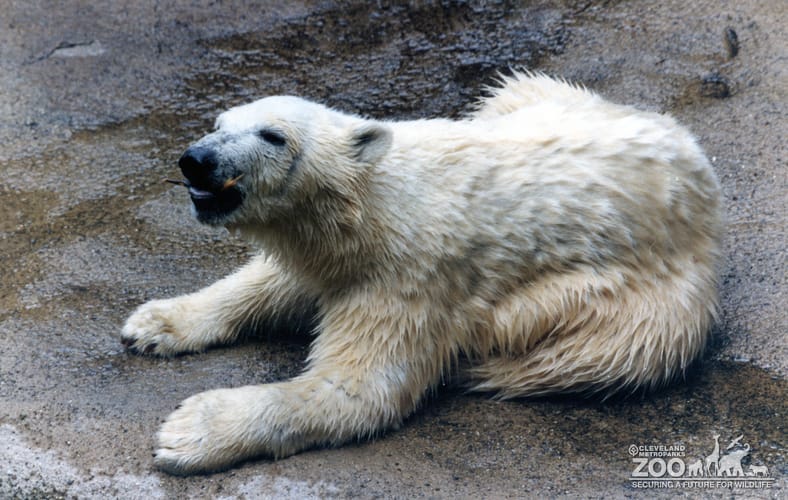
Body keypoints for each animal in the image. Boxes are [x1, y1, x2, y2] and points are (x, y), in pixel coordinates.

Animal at [121, 71, 722, 475]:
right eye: (218, 123)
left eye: (273, 136)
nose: (197, 161)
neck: (375, 203)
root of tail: (700, 167)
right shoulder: (330, 251)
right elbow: (271, 281)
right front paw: (154, 323)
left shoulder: (410, 277)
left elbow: (358, 389)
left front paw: (190, 431)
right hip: (549, 99)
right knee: (513, 86)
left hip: (648, 302)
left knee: (598, 354)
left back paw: (484, 369)